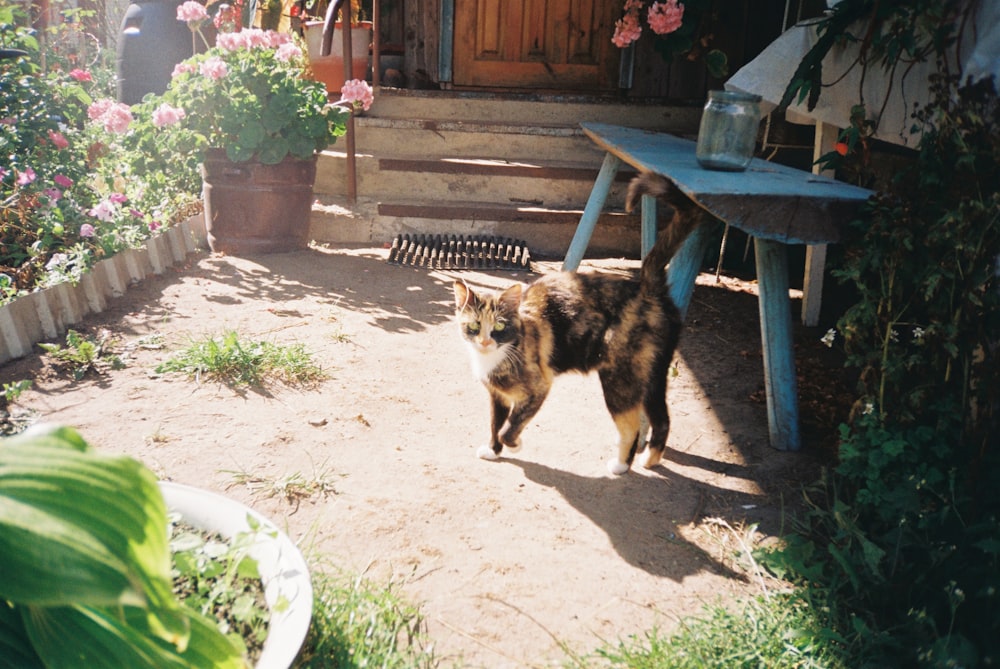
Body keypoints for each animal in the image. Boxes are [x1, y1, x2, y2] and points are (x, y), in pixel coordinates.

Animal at [454, 172, 704, 474]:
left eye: (500, 327)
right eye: (474, 326)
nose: (485, 341)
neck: (499, 356)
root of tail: (647, 287)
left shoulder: (539, 387)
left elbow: (510, 426)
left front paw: (513, 444)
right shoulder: (497, 397)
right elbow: (495, 424)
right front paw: (493, 450)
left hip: (620, 378)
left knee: (631, 425)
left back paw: (621, 465)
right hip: (653, 375)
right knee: (663, 419)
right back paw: (649, 459)